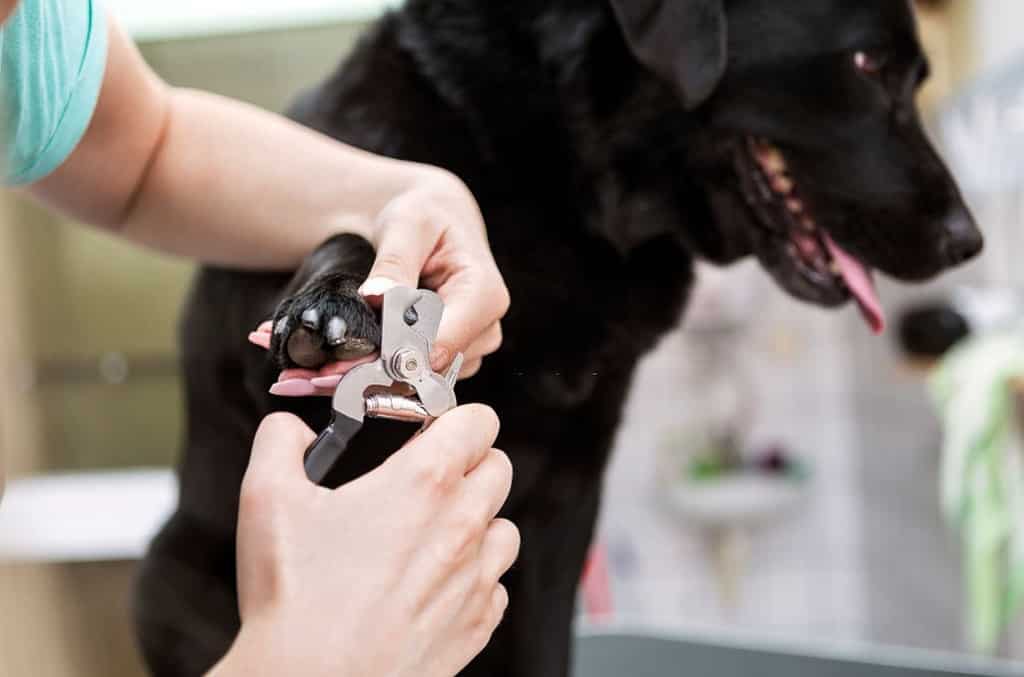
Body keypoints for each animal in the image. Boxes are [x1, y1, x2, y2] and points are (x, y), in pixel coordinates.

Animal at [132, 2, 978, 671]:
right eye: (868, 63)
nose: (967, 240)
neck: (563, 178)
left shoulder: (569, 494)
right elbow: (359, 226)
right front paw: (331, 305)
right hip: (166, 578)